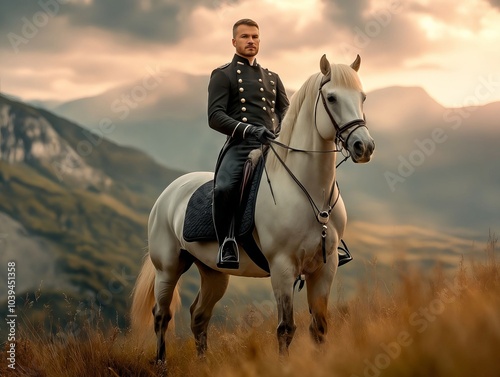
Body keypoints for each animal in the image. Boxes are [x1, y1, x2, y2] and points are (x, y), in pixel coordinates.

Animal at [131, 54, 374, 362]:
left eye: (362, 97)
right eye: (331, 98)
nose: (364, 146)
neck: (307, 191)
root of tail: (169, 192)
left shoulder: (326, 266)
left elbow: (319, 327)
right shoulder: (283, 267)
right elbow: (286, 329)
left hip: (213, 272)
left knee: (199, 315)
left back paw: (203, 363)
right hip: (168, 268)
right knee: (162, 315)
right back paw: (161, 363)